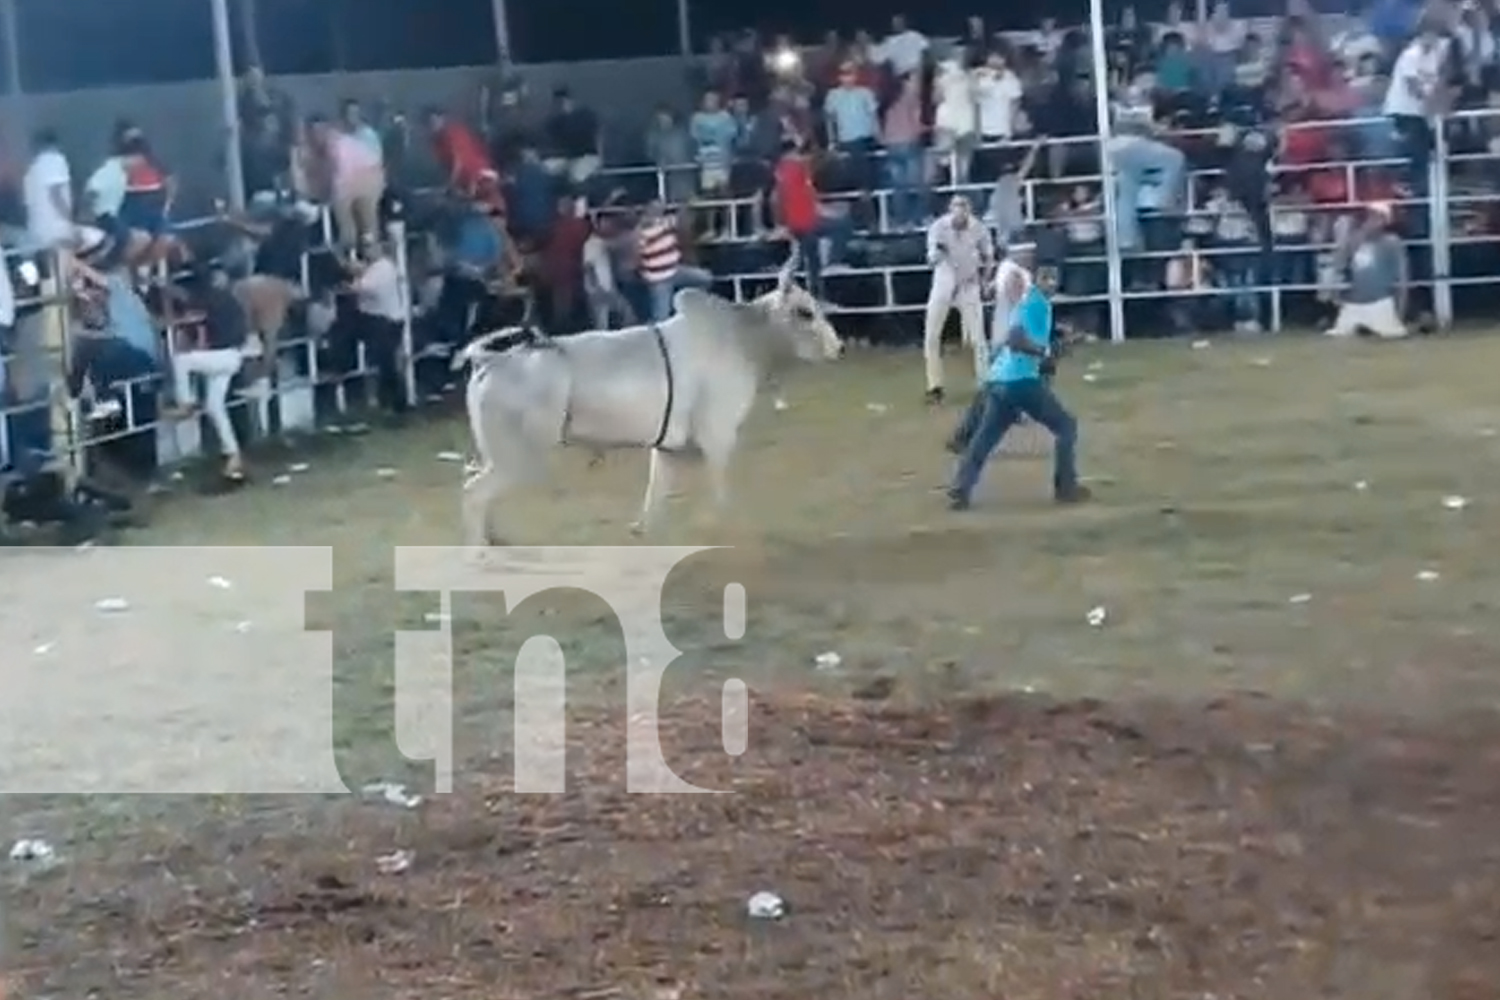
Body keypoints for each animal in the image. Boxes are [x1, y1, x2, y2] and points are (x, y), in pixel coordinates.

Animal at [450, 254, 840, 542]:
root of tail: (492, 360)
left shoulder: (667, 447)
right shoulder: (717, 435)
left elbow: (657, 495)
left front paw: (643, 532)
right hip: (518, 458)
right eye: (805, 311)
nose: (838, 347)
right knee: (473, 494)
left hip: (500, 456)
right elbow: (720, 490)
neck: (741, 337)